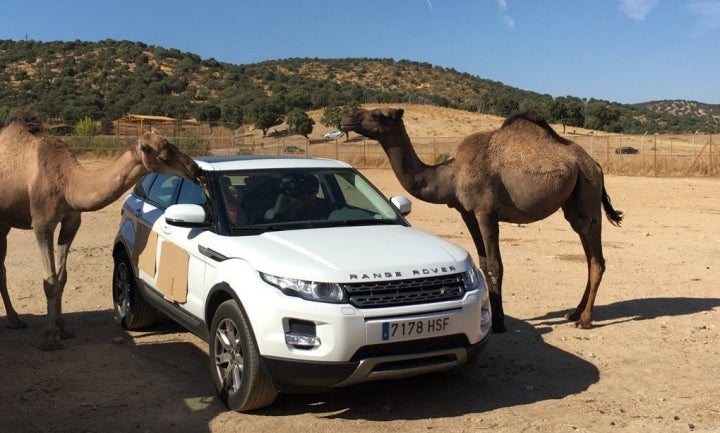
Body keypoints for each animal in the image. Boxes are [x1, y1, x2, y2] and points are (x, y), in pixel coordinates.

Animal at [0, 110, 202, 348]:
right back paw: (15, 320)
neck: (67, 182)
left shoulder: (71, 221)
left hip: (4, 224)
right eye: (164, 156)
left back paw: (14, 320)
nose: (195, 169)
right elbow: (50, 281)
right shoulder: (42, 223)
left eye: (174, 146)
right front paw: (49, 338)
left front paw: (62, 329)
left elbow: (62, 277)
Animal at [340, 107, 620, 330]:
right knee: (588, 253)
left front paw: (498, 324)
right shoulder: (467, 212)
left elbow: (496, 265)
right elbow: (484, 263)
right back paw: (574, 313)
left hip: (588, 188)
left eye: (377, 114)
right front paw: (496, 316)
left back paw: (585, 320)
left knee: (597, 257)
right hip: (573, 202)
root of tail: (596, 164)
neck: (451, 175)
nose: (347, 118)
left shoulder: (486, 211)